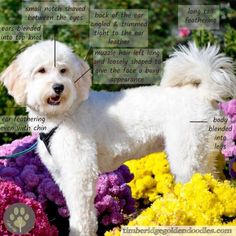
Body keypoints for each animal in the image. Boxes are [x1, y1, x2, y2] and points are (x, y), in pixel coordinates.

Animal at [0, 41, 235, 235]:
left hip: (188, 156)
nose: (59, 87)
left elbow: (82, 214)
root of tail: (204, 93)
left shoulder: (80, 171)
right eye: (41, 70)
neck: (65, 114)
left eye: (63, 70)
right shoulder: (62, 174)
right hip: (205, 154)